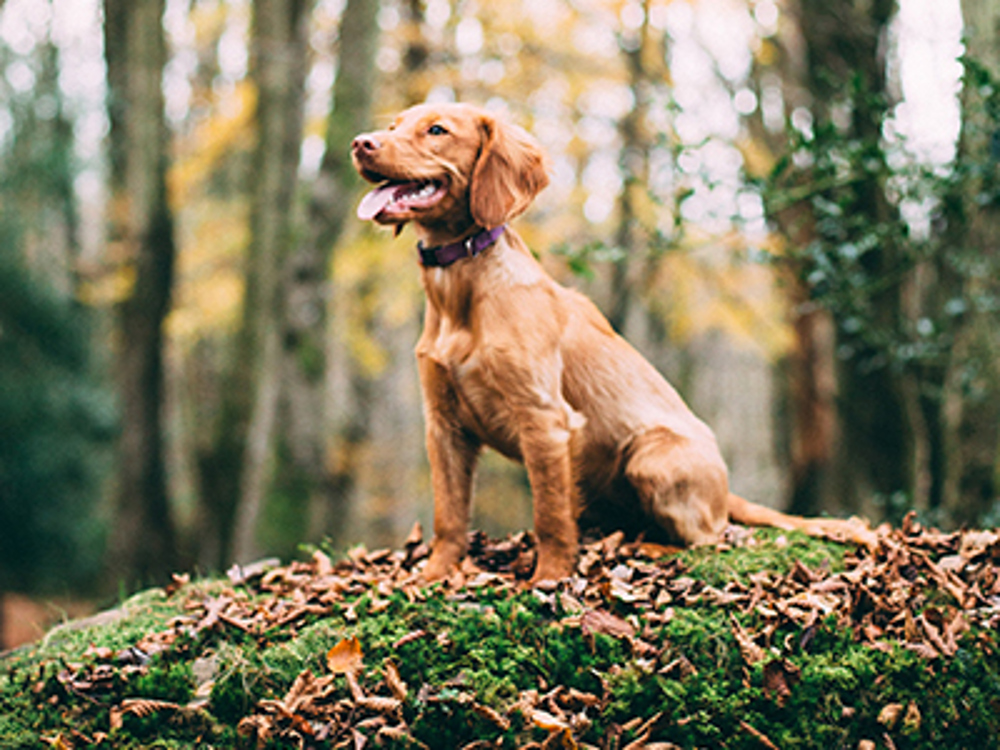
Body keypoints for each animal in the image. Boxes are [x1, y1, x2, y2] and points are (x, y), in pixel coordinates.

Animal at [354, 103, 876, 584]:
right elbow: (449, 515)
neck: (460, 292)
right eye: (395, 125)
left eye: (437, 130)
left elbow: (548, 515)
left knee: (711, 537)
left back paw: (647, 547)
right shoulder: (443, 425)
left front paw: (548, 580)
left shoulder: (544, 418)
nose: (361, 142)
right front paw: (433, 577)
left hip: (653, 458)